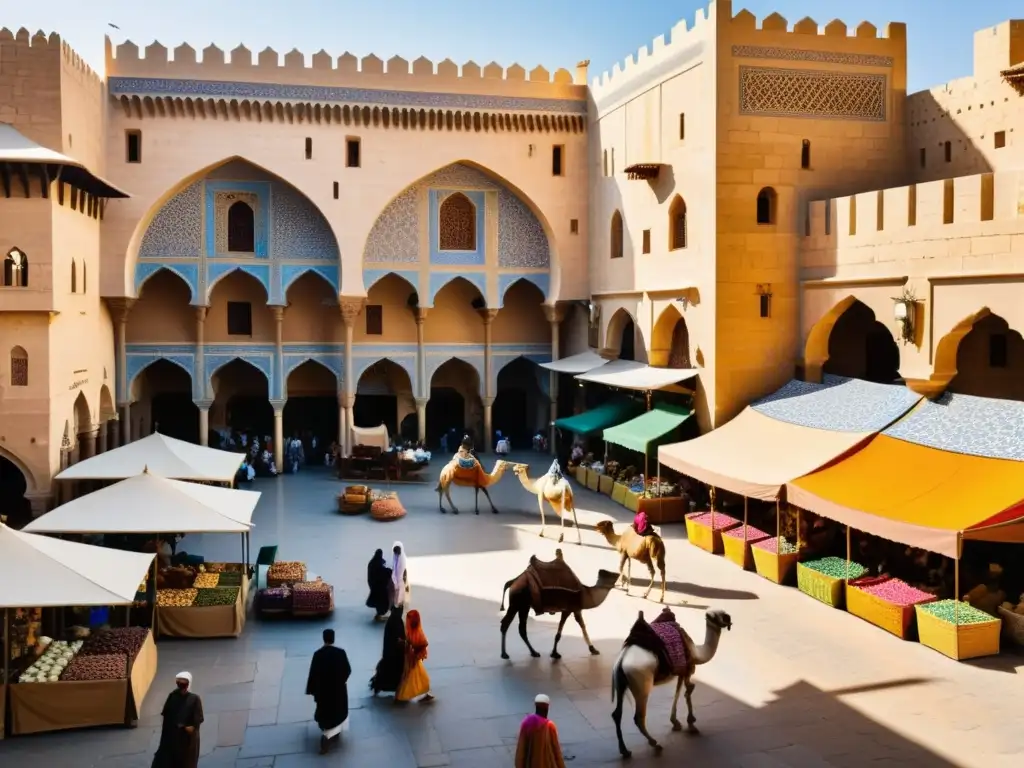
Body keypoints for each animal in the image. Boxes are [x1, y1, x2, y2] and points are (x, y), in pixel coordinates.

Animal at [610, 610, 733, 761]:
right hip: (641, 684)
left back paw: (625, 751)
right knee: (638, 717)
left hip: (621, 684)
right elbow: (688, 691)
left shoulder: (681, 671)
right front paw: (691, 724)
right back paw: (655, 744)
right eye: (722, 616)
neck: (697, 652)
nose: (729, 621)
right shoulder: (688, 669)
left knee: (617, 714)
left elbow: (678, 691)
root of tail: (621, 661)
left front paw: (676, 722)